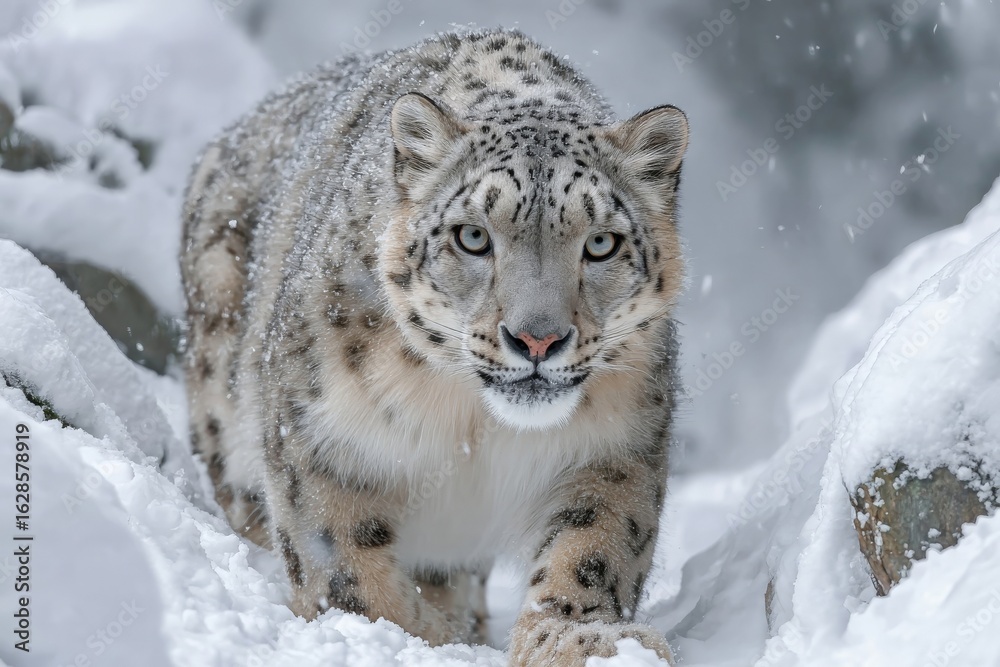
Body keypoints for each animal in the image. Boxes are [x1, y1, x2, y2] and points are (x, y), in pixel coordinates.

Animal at [180, 26, 688, 666]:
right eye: (473, 236)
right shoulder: (320, 436)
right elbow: (341, 563)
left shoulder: (618, 446)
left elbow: (596, 545)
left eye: (600, 244)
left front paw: (583, 639)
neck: (474, 425)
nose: (537, 338)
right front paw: (416, 636)